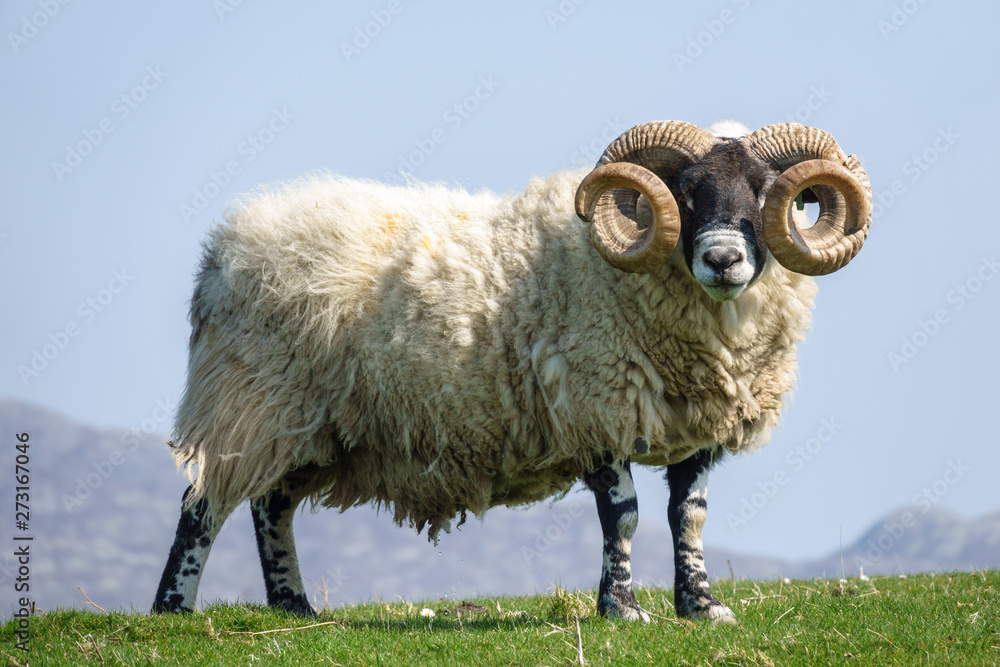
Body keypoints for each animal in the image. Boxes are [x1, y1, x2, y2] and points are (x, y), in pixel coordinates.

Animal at [152, 120, 871, 623]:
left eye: (766, 192)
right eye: (686, 194)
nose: (723, 259)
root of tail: (222, 246)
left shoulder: (695, 424)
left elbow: (687, 516)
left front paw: (701, 605)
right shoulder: (594, 405)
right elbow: (625, 515)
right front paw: (622, 609)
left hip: (307, 423)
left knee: (270, 504)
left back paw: (293, 605)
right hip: (248, 395)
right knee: (203, 505)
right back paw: (172, 608)